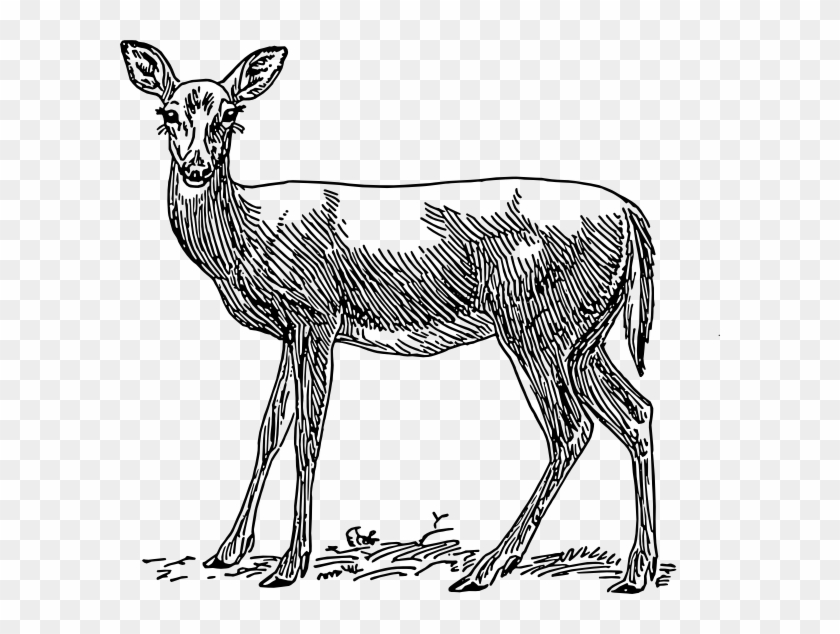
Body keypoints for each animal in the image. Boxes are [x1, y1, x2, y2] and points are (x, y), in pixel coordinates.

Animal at [120, 40, 658, 594]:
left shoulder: (317, 315)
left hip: (538, 325)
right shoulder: (289, 331)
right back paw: (636, 570)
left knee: (570, 430)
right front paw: (228, 551)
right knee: (635, 412)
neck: (248, 237)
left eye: (229, 114)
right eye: (168, 113)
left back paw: (490, 565)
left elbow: (307, 434)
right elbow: (270, 428)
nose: (196, 168)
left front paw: (290, 564)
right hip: (585, 336)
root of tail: (633, 218)